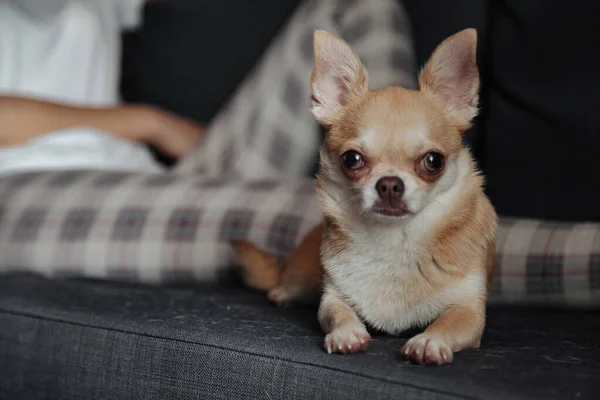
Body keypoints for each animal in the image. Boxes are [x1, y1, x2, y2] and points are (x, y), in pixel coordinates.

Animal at [232, 28, 500, 366]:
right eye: (352, 159)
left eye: (433, 161)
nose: (389, 184)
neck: (395, 239)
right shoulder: (333, 296)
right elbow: (336, 312)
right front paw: (347, 334)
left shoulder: (469, 310)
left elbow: (449, 323)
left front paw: (429, 341)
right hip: (304, 274)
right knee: (285, 282)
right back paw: (280, 292)